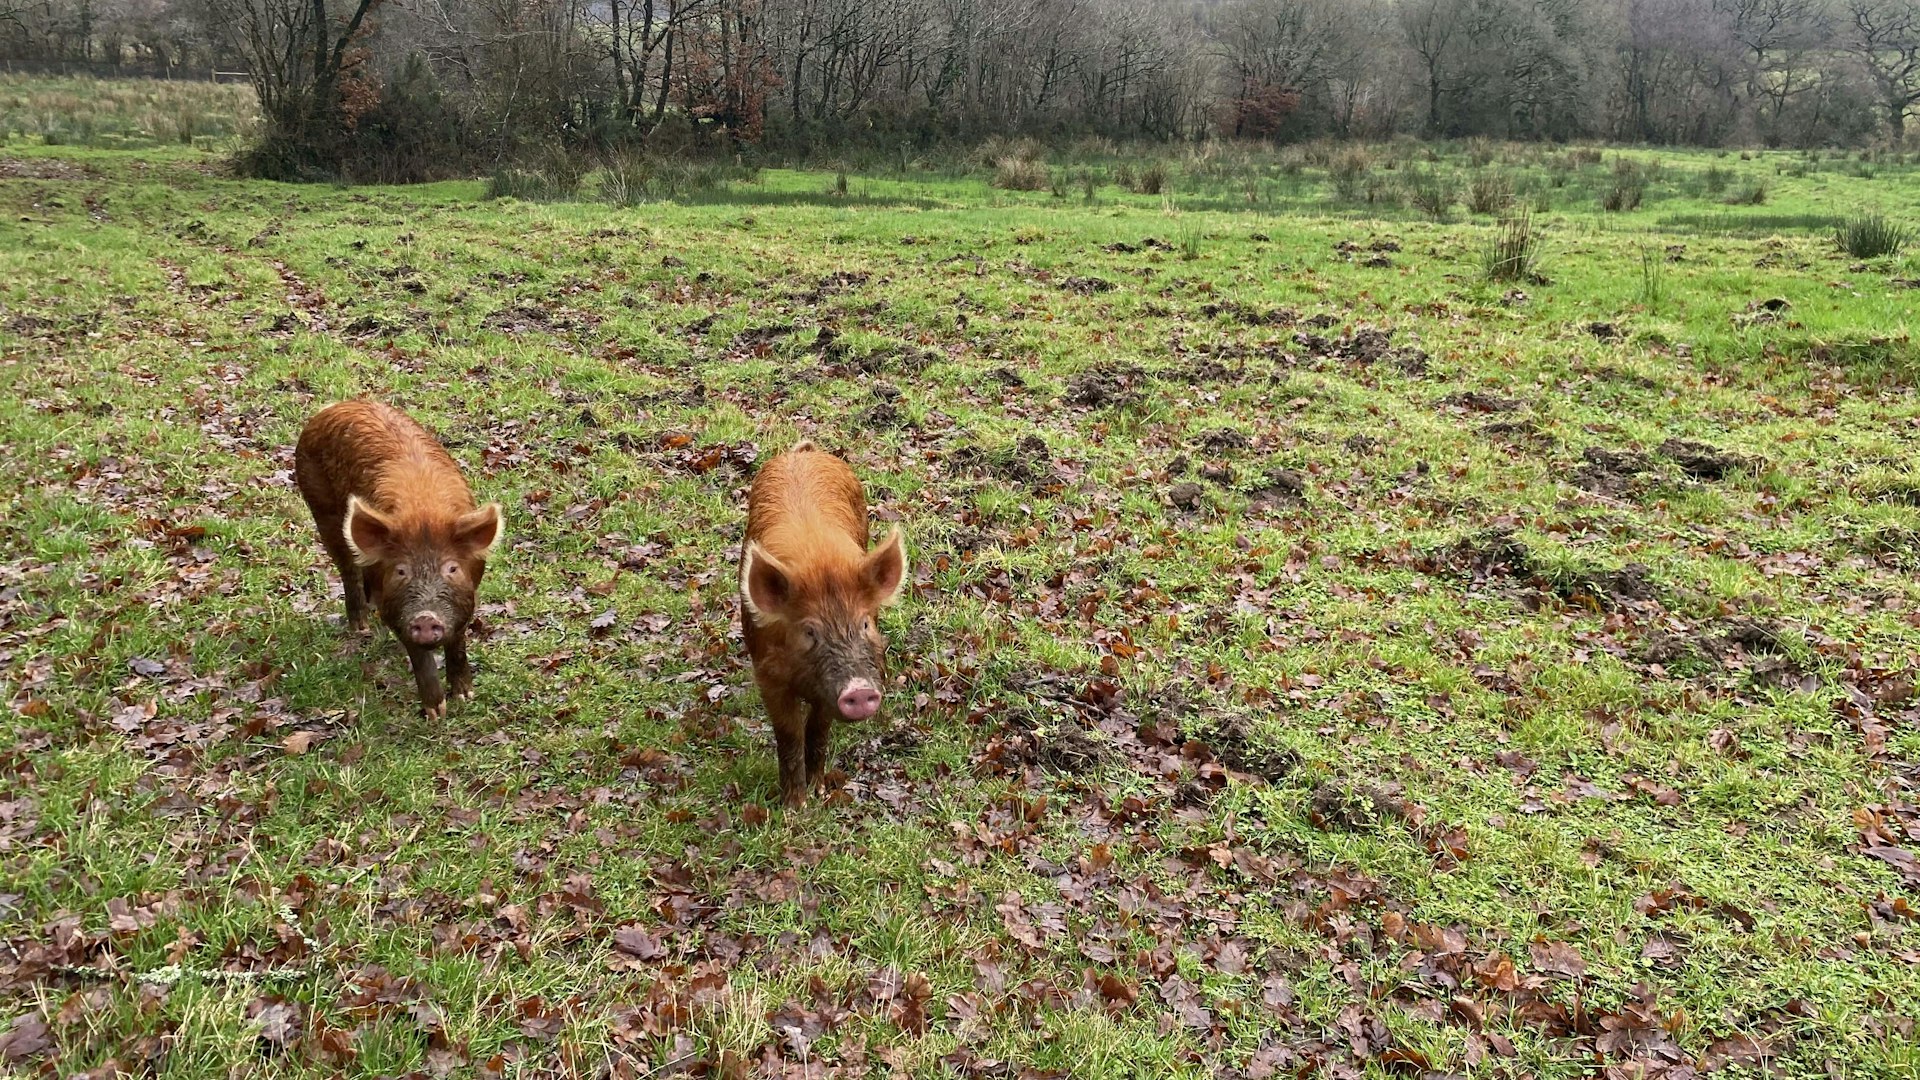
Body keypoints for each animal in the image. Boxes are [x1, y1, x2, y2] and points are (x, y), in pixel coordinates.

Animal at [291, 399, 503, 718]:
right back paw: (361, 627)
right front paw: (435, 713)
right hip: (321, 507)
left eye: (452, 568)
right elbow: (416, 652)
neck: (423, 513)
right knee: (347, 568)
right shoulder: (395, 605)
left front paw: (465, 697)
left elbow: (457, 640)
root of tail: (338, 405)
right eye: (402, 571)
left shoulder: (468, 593)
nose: (426, 618)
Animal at [741, 434, 906, 799]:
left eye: (865, 623)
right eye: (809, 631)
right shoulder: (768, 676)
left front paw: (819, 792)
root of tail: (804, 453)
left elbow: (818, 729)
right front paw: (794, 805)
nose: (859, 689)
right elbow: (789, 736)